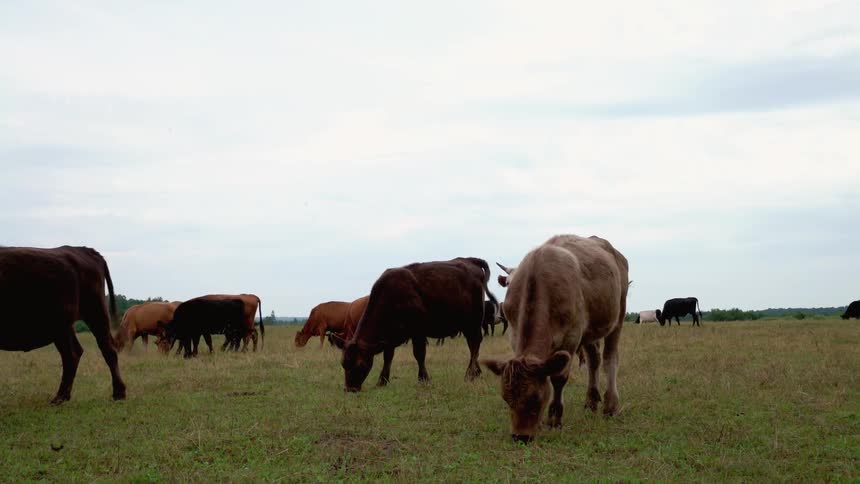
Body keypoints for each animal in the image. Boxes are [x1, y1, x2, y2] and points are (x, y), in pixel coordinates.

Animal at [0, 246, 127, 403]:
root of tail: (83, 250)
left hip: (92, 314)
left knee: (101, 351)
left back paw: (117, 393)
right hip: (67, 326)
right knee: (76, 353)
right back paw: (63, 396)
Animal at [342, 257, 498, 392]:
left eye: (360, 365)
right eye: (343, 364)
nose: (350, 389)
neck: (392, 296)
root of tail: (470, 260)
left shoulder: (418, 332)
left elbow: (419, 354)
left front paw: (423, 379)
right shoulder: (390, 338)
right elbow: (388, 357)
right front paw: (382, 381)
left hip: (473, 323)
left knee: (474, 345)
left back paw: (470, 374)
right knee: (473, 346)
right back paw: (477, 372)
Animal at [482, 235, 629, 443]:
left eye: (535, 398)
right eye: (506, 398)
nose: (520, 436)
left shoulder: (572, 337)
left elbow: (558, 378)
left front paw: (554, 418)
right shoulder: (514, 333)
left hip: (617, 317)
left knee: (610, 359)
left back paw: (611, 406)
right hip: (590, 331)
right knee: (594, 361)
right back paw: (591, 401)